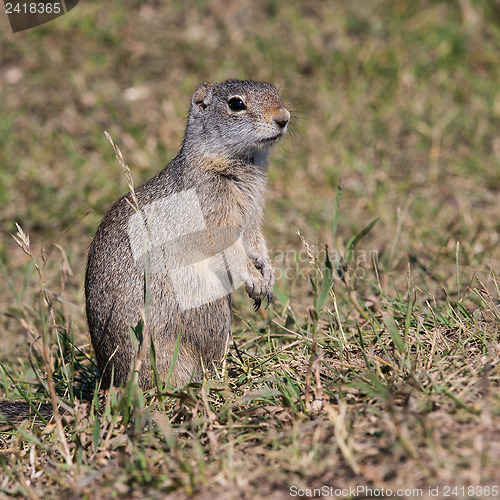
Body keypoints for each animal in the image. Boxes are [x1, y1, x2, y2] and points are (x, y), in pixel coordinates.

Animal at [84, 80, 292, 388]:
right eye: (236, 104)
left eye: (274, 91)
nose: (283, 117)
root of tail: (114, 382)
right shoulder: (215, 215)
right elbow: (231, 250)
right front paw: (256, 281)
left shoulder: (252, 217)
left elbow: (256, 243)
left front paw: (268, 274)